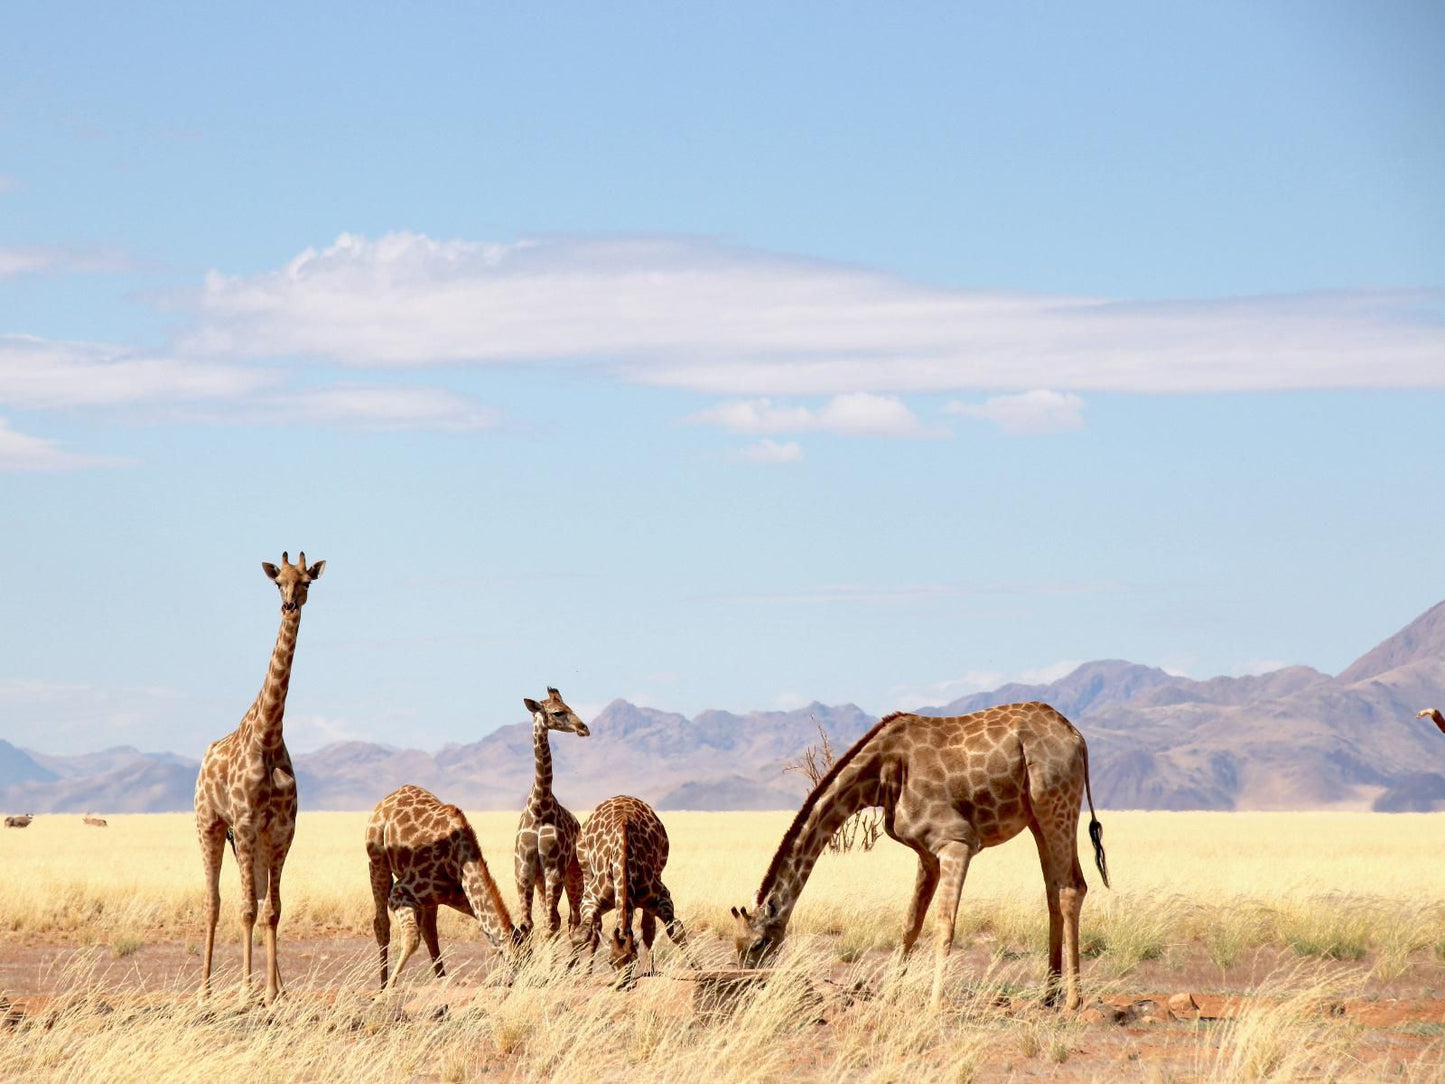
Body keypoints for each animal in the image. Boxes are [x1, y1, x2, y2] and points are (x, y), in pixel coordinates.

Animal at [193, 555, 323, 1005]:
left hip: (252, 840)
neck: (268, 734)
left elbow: (272, 908)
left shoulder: (281, 828)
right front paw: (248, 992)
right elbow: (247, 908)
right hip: (210, 825)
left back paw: (277, 985)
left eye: (306, 582)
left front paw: (271, 991)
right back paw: (206, 990)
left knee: (260, 898)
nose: (289, 604)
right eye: (277, 581)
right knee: (214, 901)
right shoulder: (246, 823)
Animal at [367, 786, 525, 988]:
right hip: (377, 861)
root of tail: (390, 797)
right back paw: (382, 987)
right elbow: (412, 937)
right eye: (516, 964)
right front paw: (387, 992)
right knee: (382, 924)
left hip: (429, 900)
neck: (458, 863)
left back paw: (441, 979)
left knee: (429, 930)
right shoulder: (400, 893)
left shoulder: (459, 898)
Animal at [514, 690, 592, 936]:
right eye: (558, 712)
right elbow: (527, 924)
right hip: (542, 879)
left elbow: (550, 922)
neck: (540, 806)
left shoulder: (553, 868)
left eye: (570, 706)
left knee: (573, 918)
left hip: (574, 873)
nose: (584, 728)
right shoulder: (524, 870)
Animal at [572, 792, 690, 982]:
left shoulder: (663, 897)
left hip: (659, 871)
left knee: (648, 929)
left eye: (634, 960)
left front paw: (698, 969)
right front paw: (569, 971)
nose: (623, 983)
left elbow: (675, 930)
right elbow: (582, 934)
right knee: (595, 930)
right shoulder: (590, 899)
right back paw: (588, 972)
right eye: (611, 961)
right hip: (586, 869)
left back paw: (650, 970)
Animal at [728, 699, 1109, 1017]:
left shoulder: (956, 841)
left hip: (1055, 803)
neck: (881, 775)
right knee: (1054, 888)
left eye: (759, 943)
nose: (748, 986)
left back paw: (1073, 1000)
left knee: (1071, 888)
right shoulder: (926, 853)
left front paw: (935, 1004)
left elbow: (944, 924)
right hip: (1037, 818)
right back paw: (1048, 995)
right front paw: (889, 996)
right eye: (737, 944)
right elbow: (910, 924)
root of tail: (1077, 737)